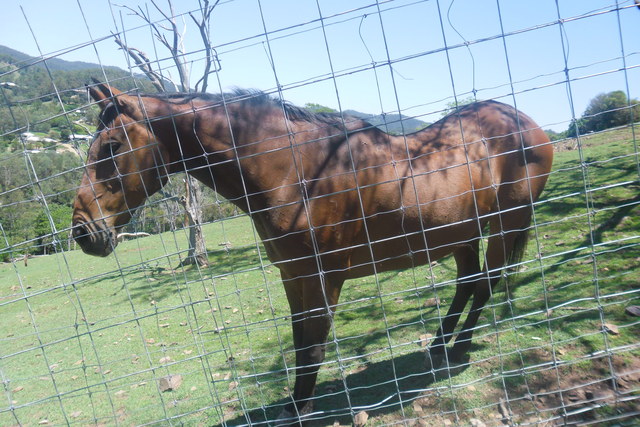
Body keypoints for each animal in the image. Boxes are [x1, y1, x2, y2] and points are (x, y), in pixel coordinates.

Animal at [72, 81, 553, 424]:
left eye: (112, 147)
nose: (82, 232)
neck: (297, 170)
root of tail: (527, 124)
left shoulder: (323, 278)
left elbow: (314, 346)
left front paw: (301, 407)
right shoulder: (293, 275)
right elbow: (301, 339)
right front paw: (292, 402)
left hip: (505, 225)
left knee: (485, 284)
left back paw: (460, 348)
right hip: (461, 234)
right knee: (468, 283)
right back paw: (438, 345)